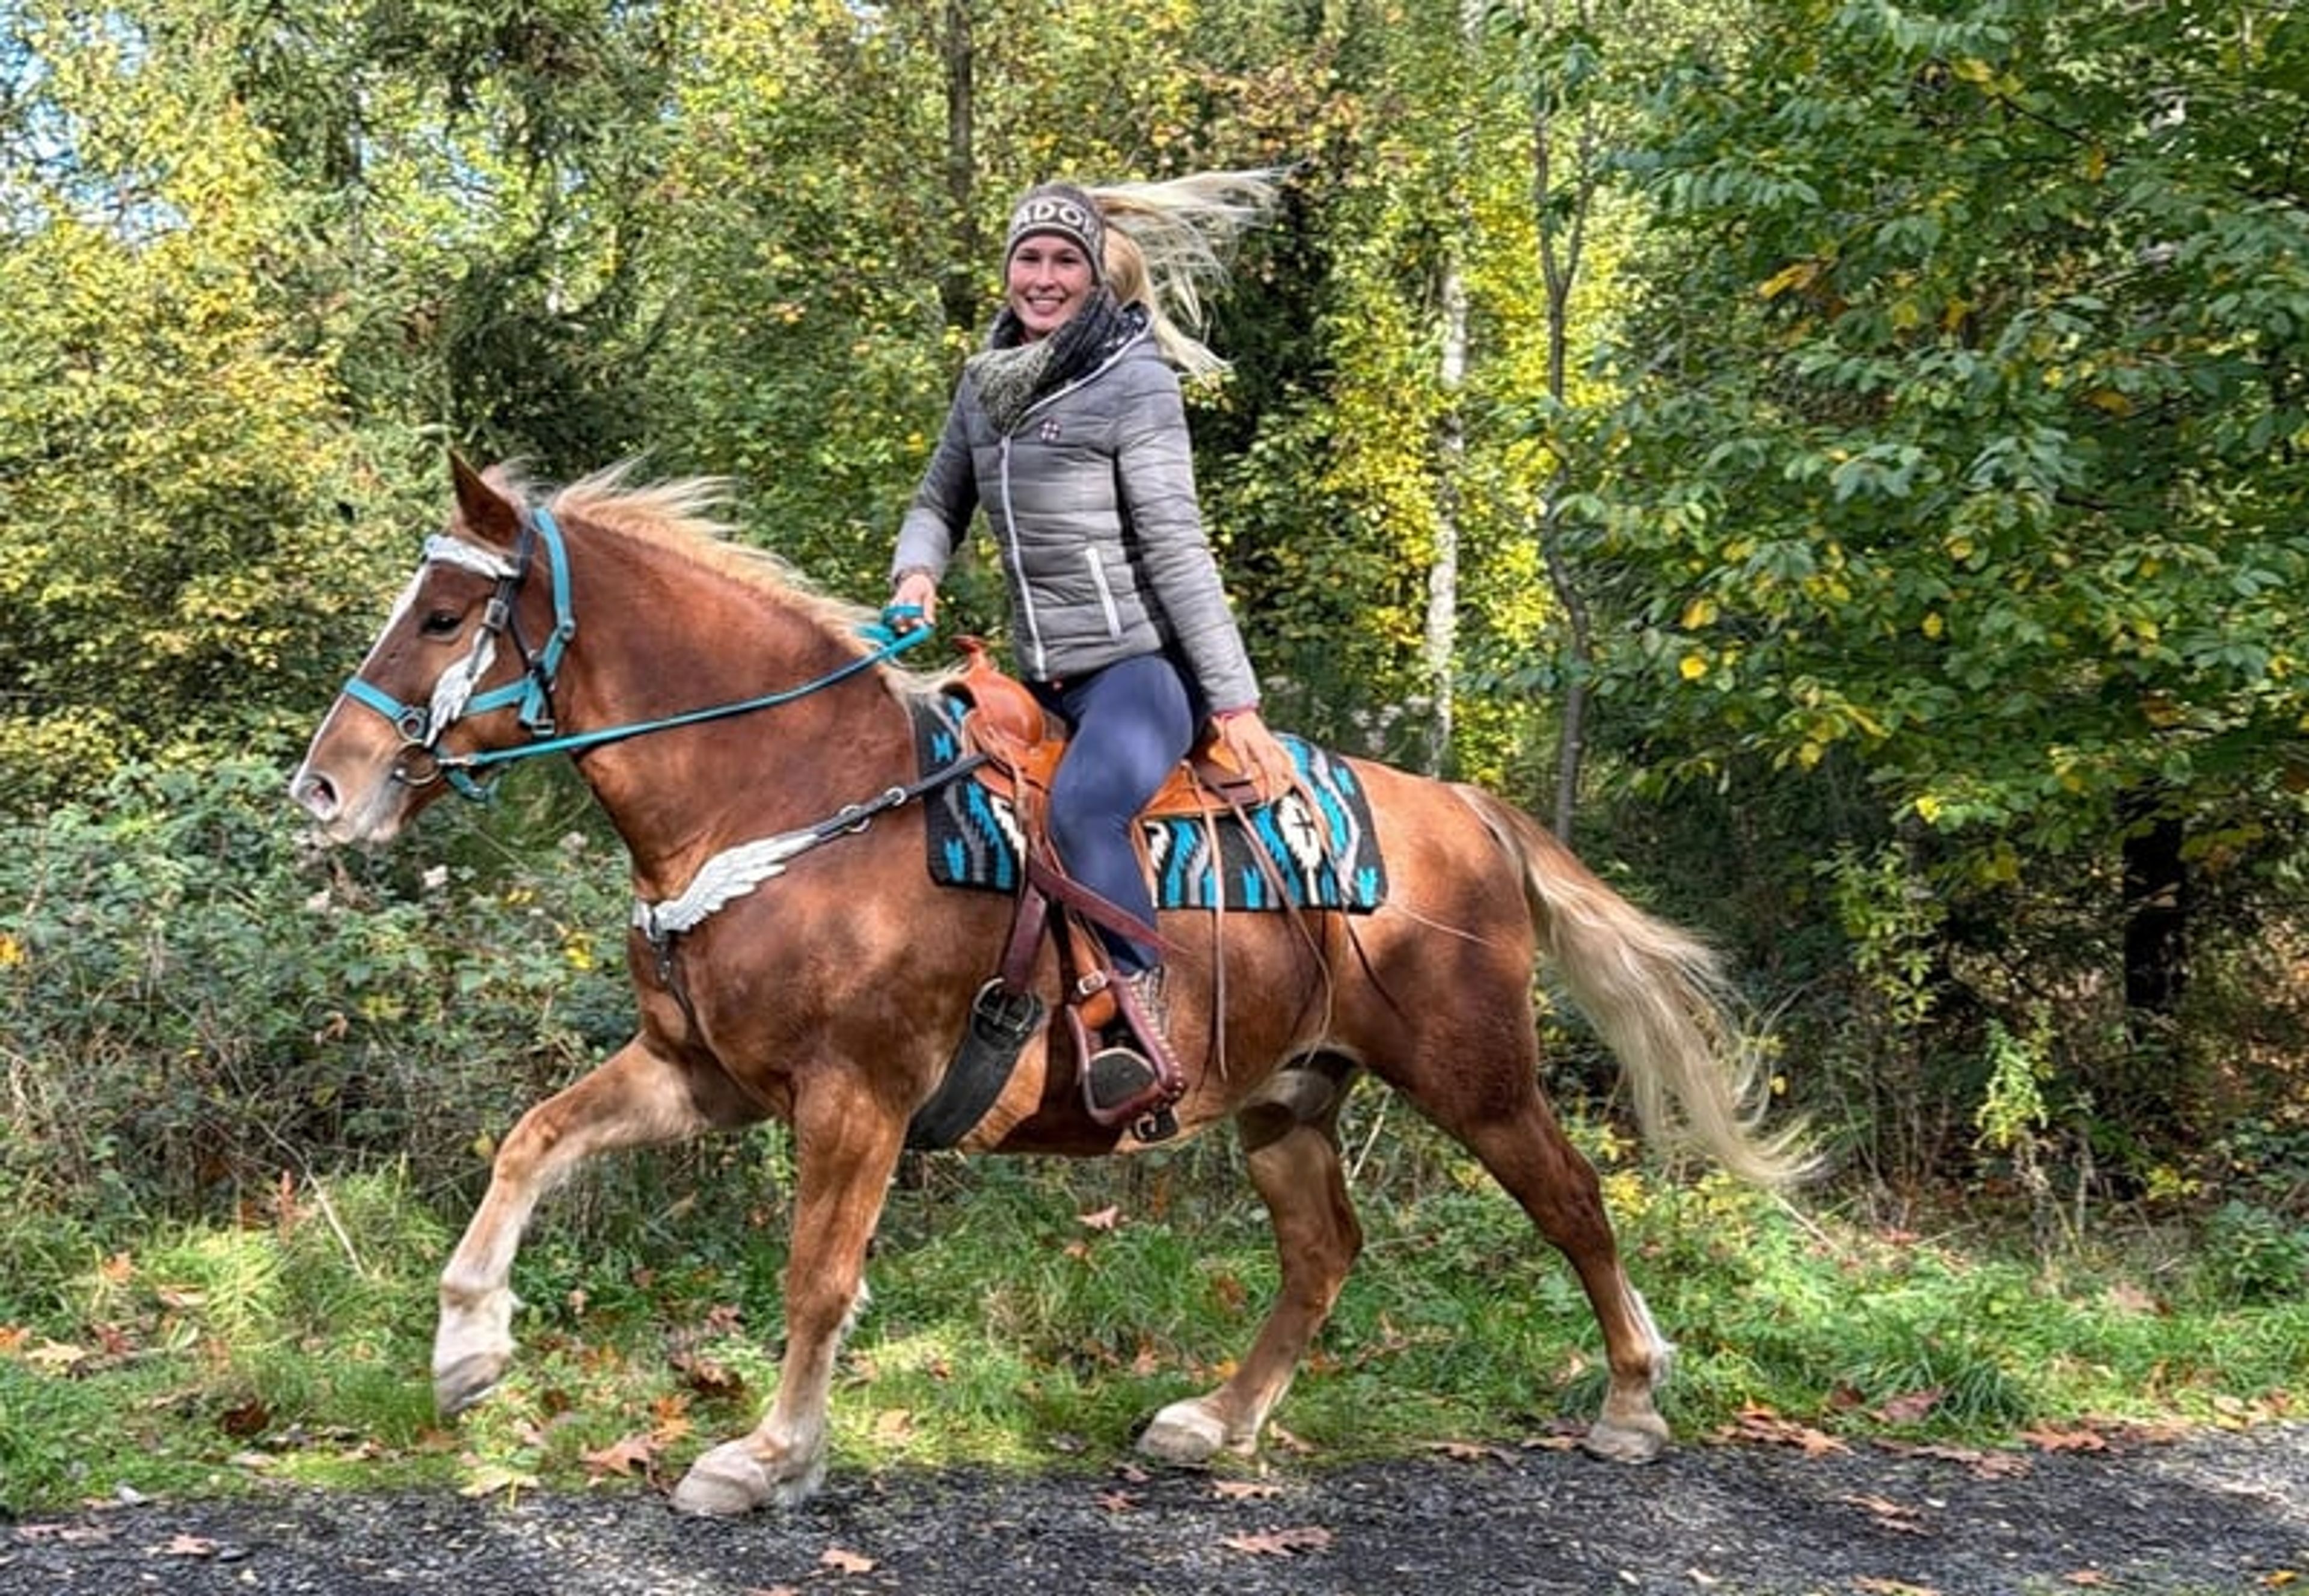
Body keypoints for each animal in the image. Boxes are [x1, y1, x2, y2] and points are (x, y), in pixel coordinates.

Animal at [288, 458, 1805, 1516]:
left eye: (442, 616)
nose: (325, 787)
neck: (780, 794)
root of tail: (1465, 812)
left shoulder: (855, 1096)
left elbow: (815, 1277)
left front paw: (770, 1454)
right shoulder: (701, 1074)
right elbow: (531, 1139)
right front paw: (467, 1344)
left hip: (1472, 1073)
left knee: (1573, 1201)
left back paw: (1631, 1400)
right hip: (1287, 1096)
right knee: (1323, 1251)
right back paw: (1217, 1422)